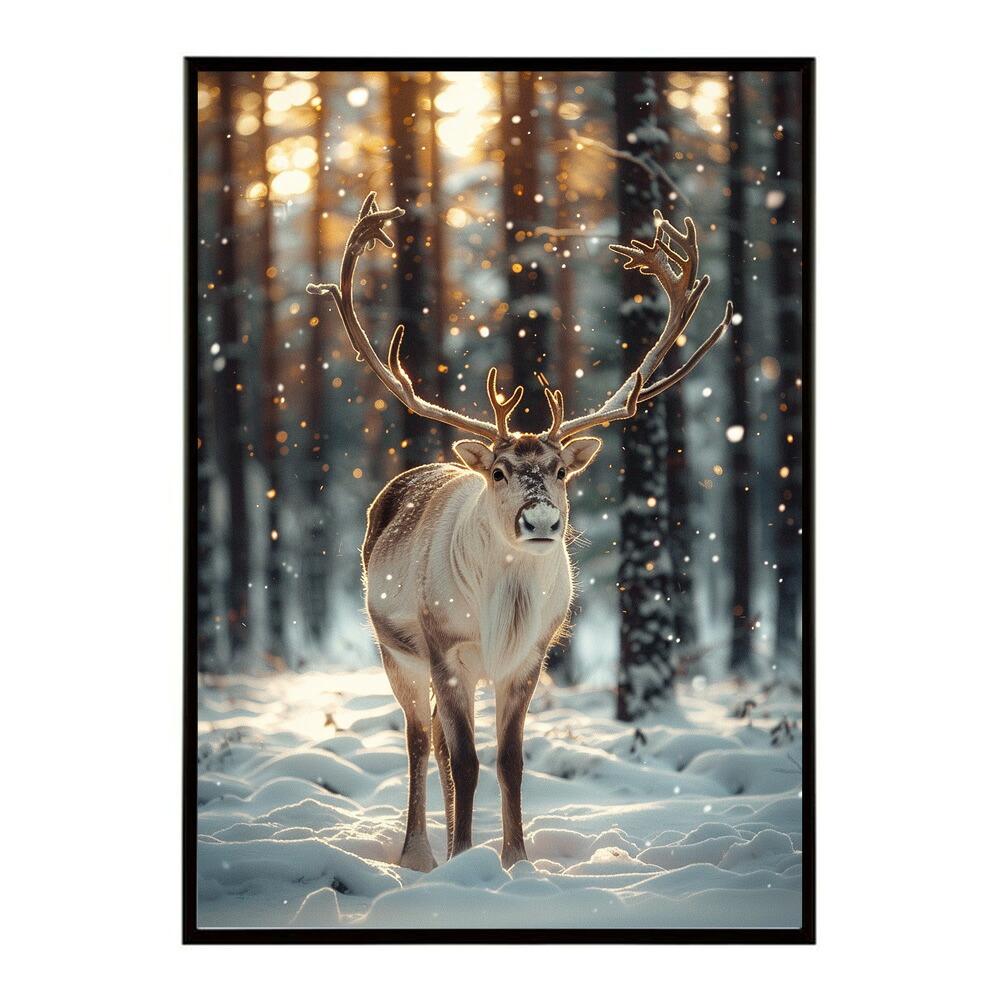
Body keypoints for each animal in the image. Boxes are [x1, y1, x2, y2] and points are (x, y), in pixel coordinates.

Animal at [307, 192, 732, 872]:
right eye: (501, 470)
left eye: (560, 470)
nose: (540, 520)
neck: (503, 611)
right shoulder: (446, 646)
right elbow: (466, 760)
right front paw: (464, 857)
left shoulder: (531, 656)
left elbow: (509, 761)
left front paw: (515, 861)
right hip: (396, 651)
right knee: (421, 739)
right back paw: (418, 853)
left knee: (441, 742)